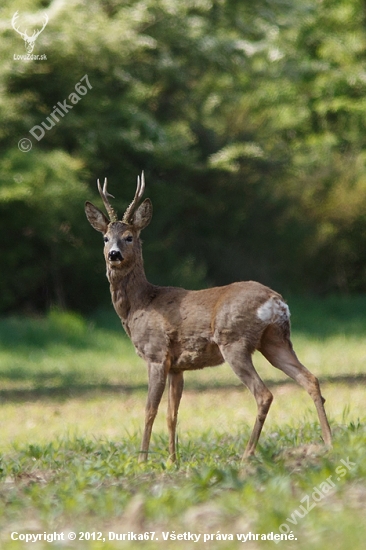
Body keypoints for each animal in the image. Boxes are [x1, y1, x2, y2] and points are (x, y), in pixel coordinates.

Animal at [85, 175, 332, 464]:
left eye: (129, 237)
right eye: (105, 238)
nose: (114, 254)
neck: (139, 304)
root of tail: (276, 302)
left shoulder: (156, 354)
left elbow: (149, 410)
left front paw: (142, 460)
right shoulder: (177, 366)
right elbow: (172, 414)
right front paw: (172, 460)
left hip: (234, 341)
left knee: (264, 394)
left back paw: (247, 454)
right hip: (275, 341)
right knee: (310, 379)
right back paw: (328, 441)